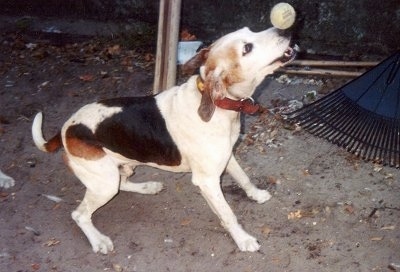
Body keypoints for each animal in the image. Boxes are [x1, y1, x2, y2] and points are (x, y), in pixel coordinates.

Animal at [31, 26, 296, 254]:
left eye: (250, 31)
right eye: (247, 48)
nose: (285, 30)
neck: (220, 104)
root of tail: (65, 129)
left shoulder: (227, 155)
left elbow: (243, 178)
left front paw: (256, 194)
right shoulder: (207, 181)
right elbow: (228, 214)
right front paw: (243, 239)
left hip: (119, 170)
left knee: (122, 184)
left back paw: (148, 187)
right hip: (103, 181)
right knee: (80, 214)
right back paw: (99, 241)